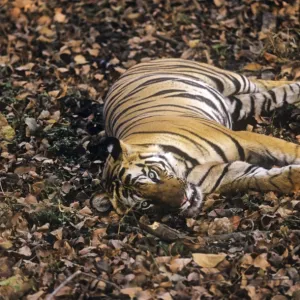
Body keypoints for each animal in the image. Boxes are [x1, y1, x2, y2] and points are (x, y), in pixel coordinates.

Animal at [91, 58, 300, 217]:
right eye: (145, 203)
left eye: (152, 175)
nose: (183, 200)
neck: (184, 168)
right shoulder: (230, 173)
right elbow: (271, 179)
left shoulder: (245, 138)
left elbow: (289, 150)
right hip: (240, 104)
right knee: (268, 97)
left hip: (229, 79)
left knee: (263, 83)